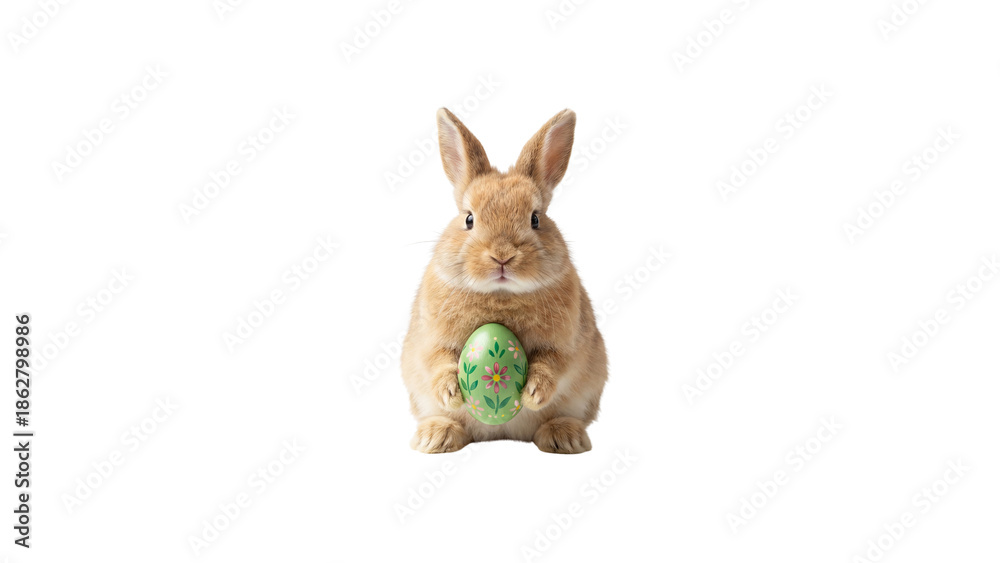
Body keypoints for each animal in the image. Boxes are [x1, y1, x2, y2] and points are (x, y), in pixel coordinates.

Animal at [401, 108, 608, 454]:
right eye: (469, 219)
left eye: (535, 219)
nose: (502, 256)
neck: (500, 295)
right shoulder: (431, 340)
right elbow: (438, 361)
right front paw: (450, 393)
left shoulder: (563, 344)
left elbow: (552, 365)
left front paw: (533, 394)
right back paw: (436, 436)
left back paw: (564, 437)